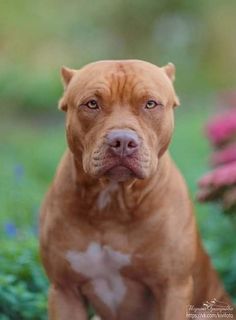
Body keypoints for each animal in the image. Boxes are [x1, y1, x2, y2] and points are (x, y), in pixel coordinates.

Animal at [39, 60, 233, 320]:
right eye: (92, 103)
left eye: (150, 103)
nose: (122, 141)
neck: (113, 204)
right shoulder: (64, 290)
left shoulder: (173, 287)